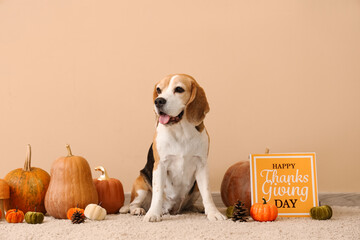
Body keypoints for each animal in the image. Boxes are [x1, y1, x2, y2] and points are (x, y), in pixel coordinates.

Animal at [121, 74, 225, 222]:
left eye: (179, 89)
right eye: (158, 90)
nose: (158, 101)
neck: (181, 132)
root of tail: (173, 209)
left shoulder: (202, 165)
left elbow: (207, 193)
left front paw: (213, 212)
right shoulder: (160, 165)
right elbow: (157, 193)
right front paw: (153, 214)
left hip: (195, 189)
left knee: (189, 204)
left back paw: (198, 208)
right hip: (141, 184)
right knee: (133, 204)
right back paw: (138, 210)